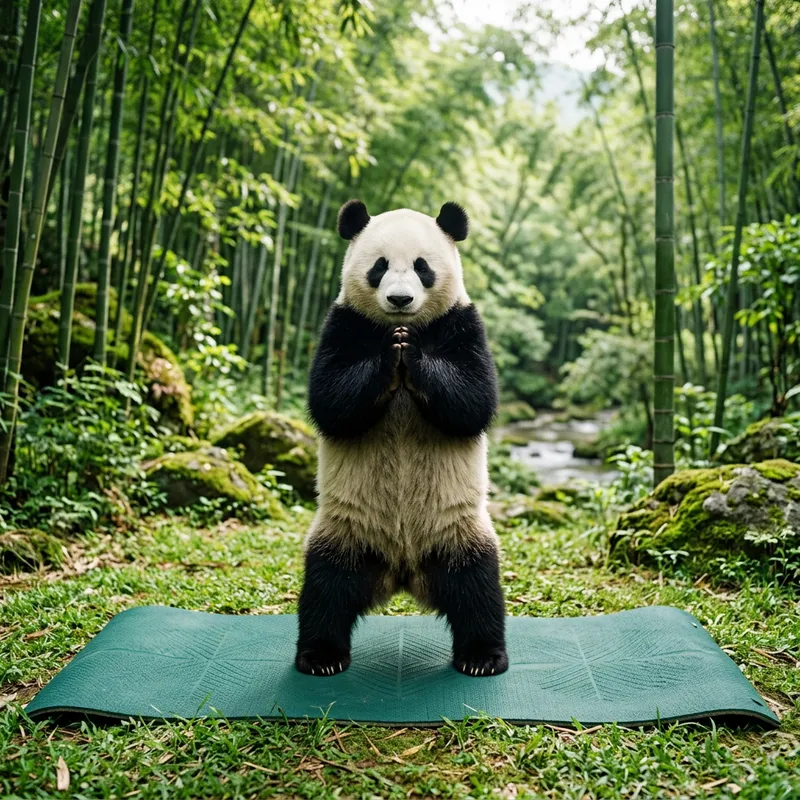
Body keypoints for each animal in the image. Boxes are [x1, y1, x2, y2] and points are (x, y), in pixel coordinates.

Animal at [295, 199, 508, 678]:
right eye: (379, 267)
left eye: (422, 267)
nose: (399, 300)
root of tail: (403, 570)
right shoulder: (343, 323)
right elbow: (330, 401)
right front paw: (390, 355)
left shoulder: (463, 323)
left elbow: (474, 400)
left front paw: (409, 352)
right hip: (343, 530)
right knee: (325, 587)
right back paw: (320, 656)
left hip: (460, 529)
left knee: (478, 587)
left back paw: (483, 656)